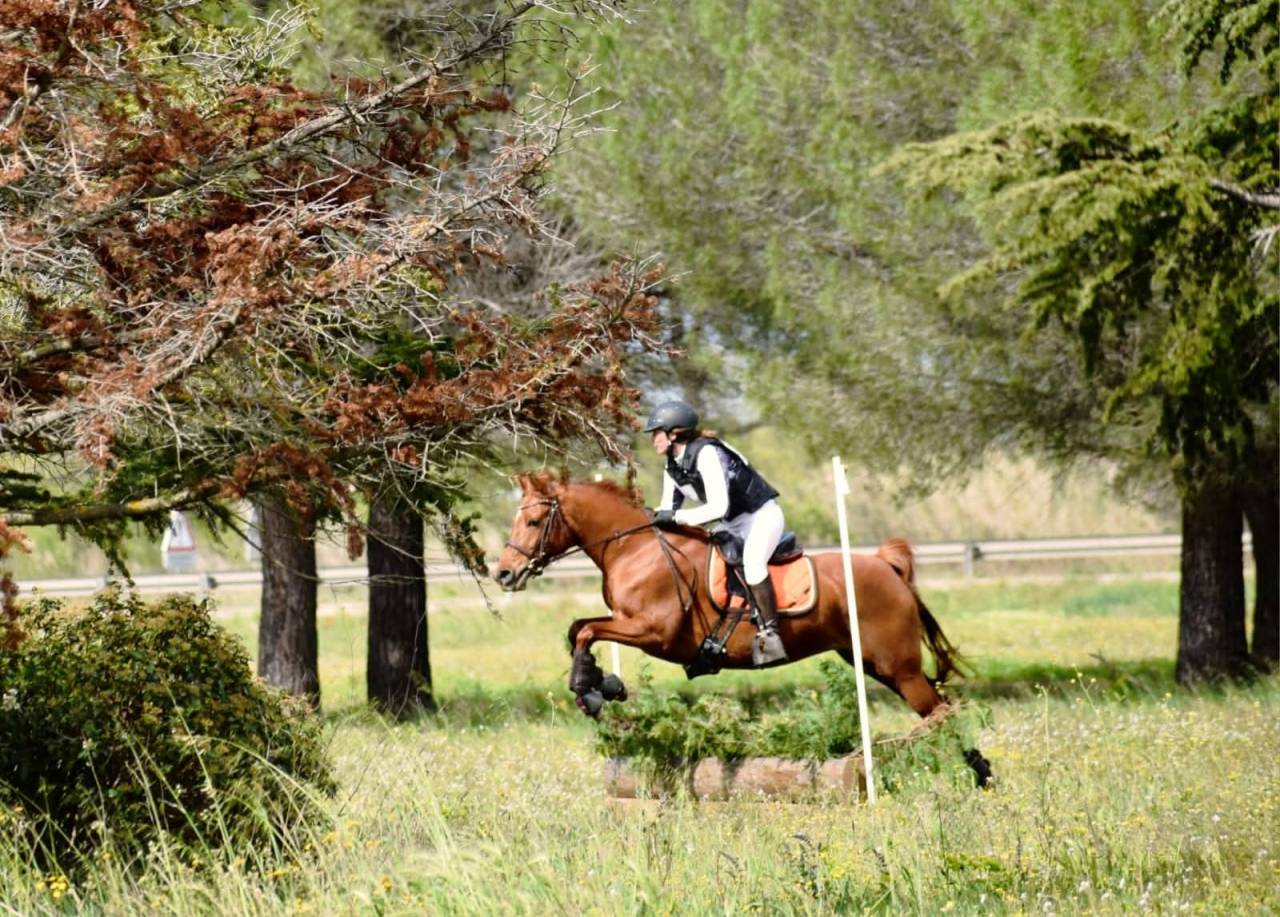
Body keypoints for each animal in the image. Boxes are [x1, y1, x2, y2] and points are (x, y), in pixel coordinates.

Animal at [493, 471, 993, 786]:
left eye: (533, 520)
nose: (503, 573)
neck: (635, 550)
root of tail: (887, 566)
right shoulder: (631, 626)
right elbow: (578, 627)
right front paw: (600, 684)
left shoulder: (655, 633)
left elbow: (585, 631)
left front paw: (591, 687)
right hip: (873, 662)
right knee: (940, 709)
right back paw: (981, 774)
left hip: (894, 664)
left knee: (939, 713)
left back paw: (885, 753)